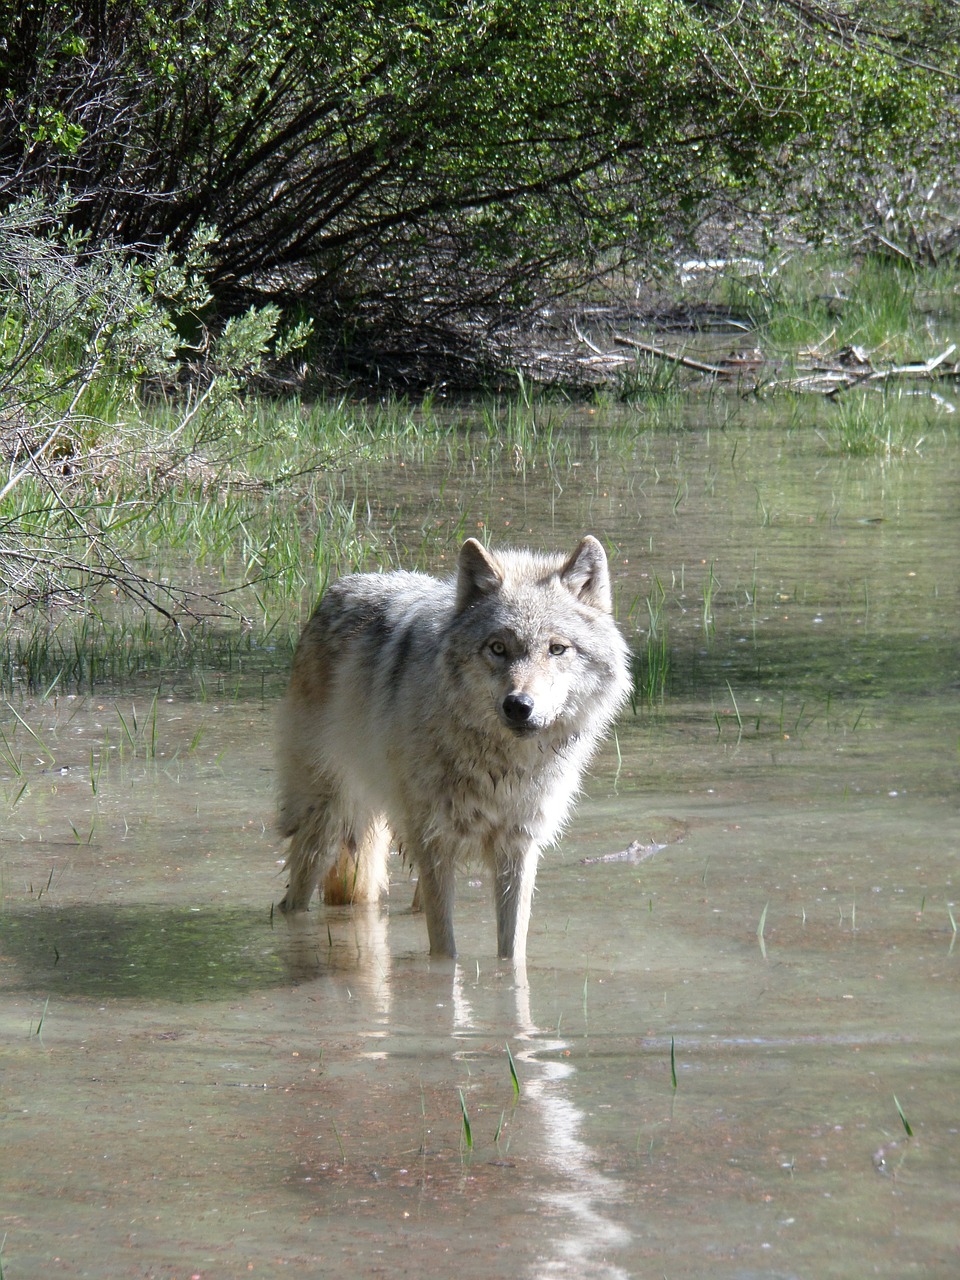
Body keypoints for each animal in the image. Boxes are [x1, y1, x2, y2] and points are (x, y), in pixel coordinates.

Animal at [276, 532, 632, 962]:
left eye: (557, 649)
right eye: (498, 648)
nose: (518, 705)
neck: (501, 765)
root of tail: (339, 588)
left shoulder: (517, 847)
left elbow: (512, 950)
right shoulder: (435, 844)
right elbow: (445, 951)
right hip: (328, 819)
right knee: (293, 900)